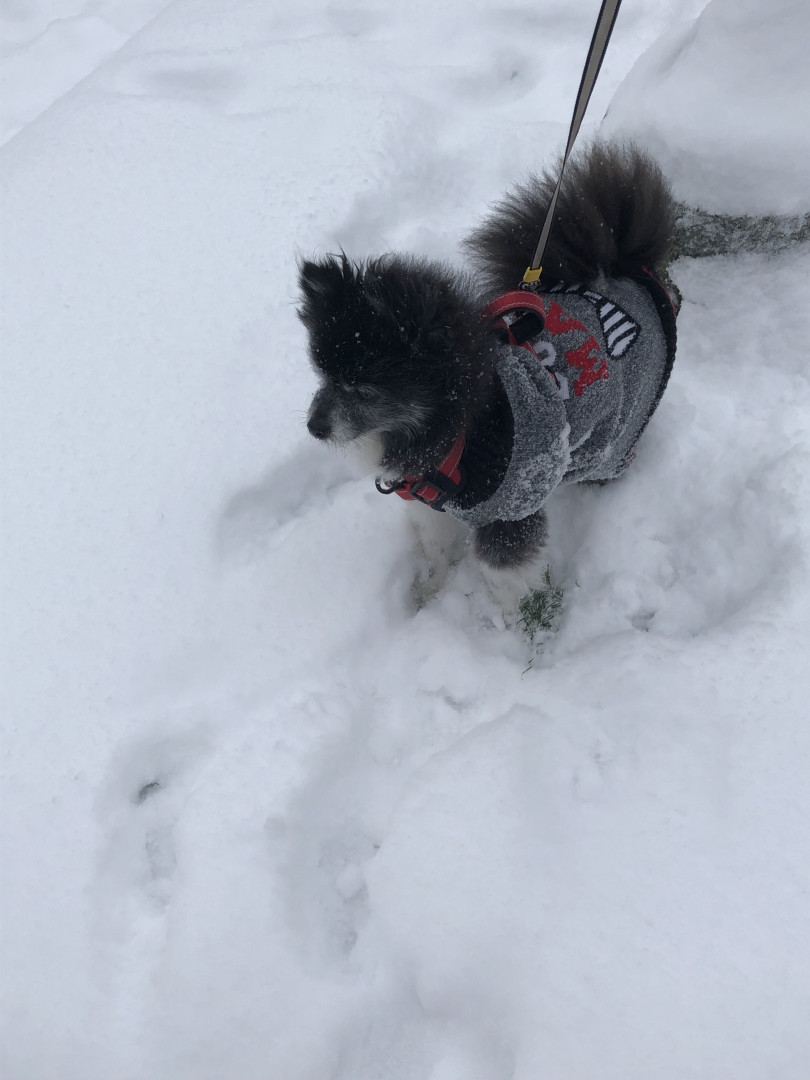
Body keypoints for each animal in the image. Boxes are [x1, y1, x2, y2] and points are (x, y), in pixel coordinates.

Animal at [298, 142, 678, 606]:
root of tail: (625, 272)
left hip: (617, 431)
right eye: (323, 374)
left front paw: (517, 620)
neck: (459, 428)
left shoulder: (509, 511)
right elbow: (437, 547)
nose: (314, 426)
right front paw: (430, 590)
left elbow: (503, 576)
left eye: (362, 386)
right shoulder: (431, 507)